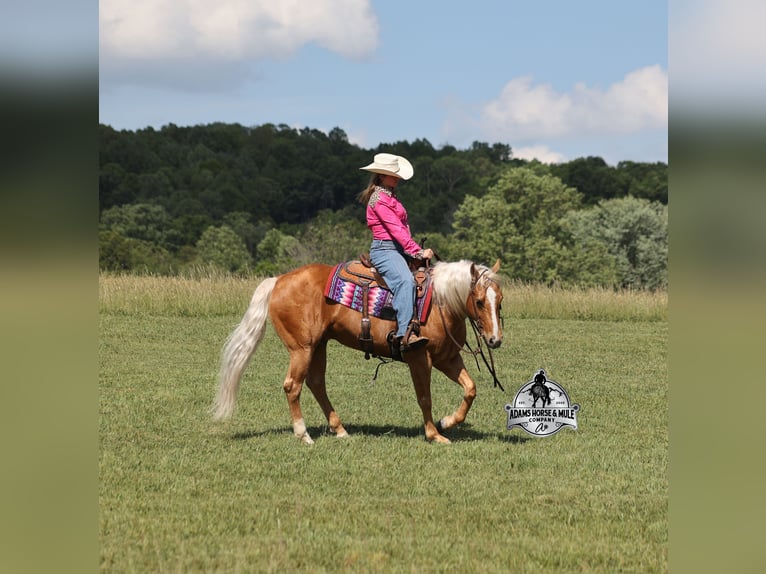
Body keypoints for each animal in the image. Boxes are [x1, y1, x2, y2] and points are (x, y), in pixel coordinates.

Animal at [213, 259, 504, 444]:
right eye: (479, 301)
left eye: (499, 301)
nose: (495, 340)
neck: (440, 303)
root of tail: (278, 280)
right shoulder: (419, 358)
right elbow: (425, 398)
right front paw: (435, 434)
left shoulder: (447, 358)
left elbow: (470, 389)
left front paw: (447, 422)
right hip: (301, 348)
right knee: (292, 385)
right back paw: (303, 435)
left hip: (319, 345)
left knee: (316, 383)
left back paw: (340, 430)